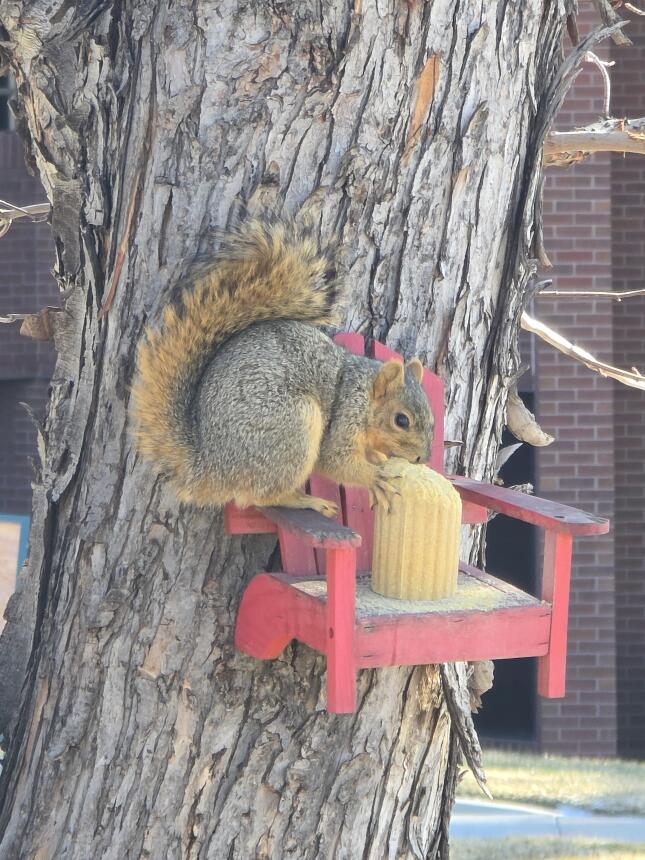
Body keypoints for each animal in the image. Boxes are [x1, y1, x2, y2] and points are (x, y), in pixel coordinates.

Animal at [131, 218, 434, 518]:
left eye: (431, 418)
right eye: (401, 420)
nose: (421, 458)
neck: (363, 395)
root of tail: (211, 468)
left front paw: (378, 459)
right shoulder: (345, 418)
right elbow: (334, 460)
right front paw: (374, 477)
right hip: (291, 429)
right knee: (261, 496)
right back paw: (305, 501)